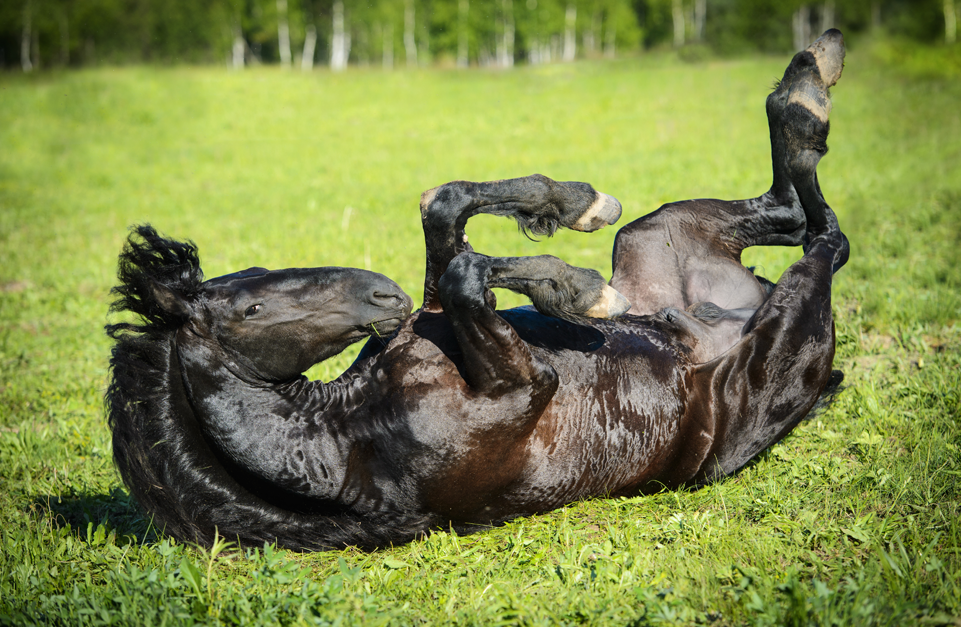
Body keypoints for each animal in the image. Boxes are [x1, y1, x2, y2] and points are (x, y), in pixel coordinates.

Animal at [106, 30, 849, 551]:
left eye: (260, 273)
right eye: (251, 308)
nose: (383, 295)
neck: (347, 440)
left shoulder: (442, 306)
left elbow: (446, 214)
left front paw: (574, 210)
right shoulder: (523, 381)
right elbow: (466, 272)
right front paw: (580, 289)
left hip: (658, 227)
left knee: (794, 208)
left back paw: (809, 76)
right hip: (780, 330)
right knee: (820, 234)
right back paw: (807, 94)